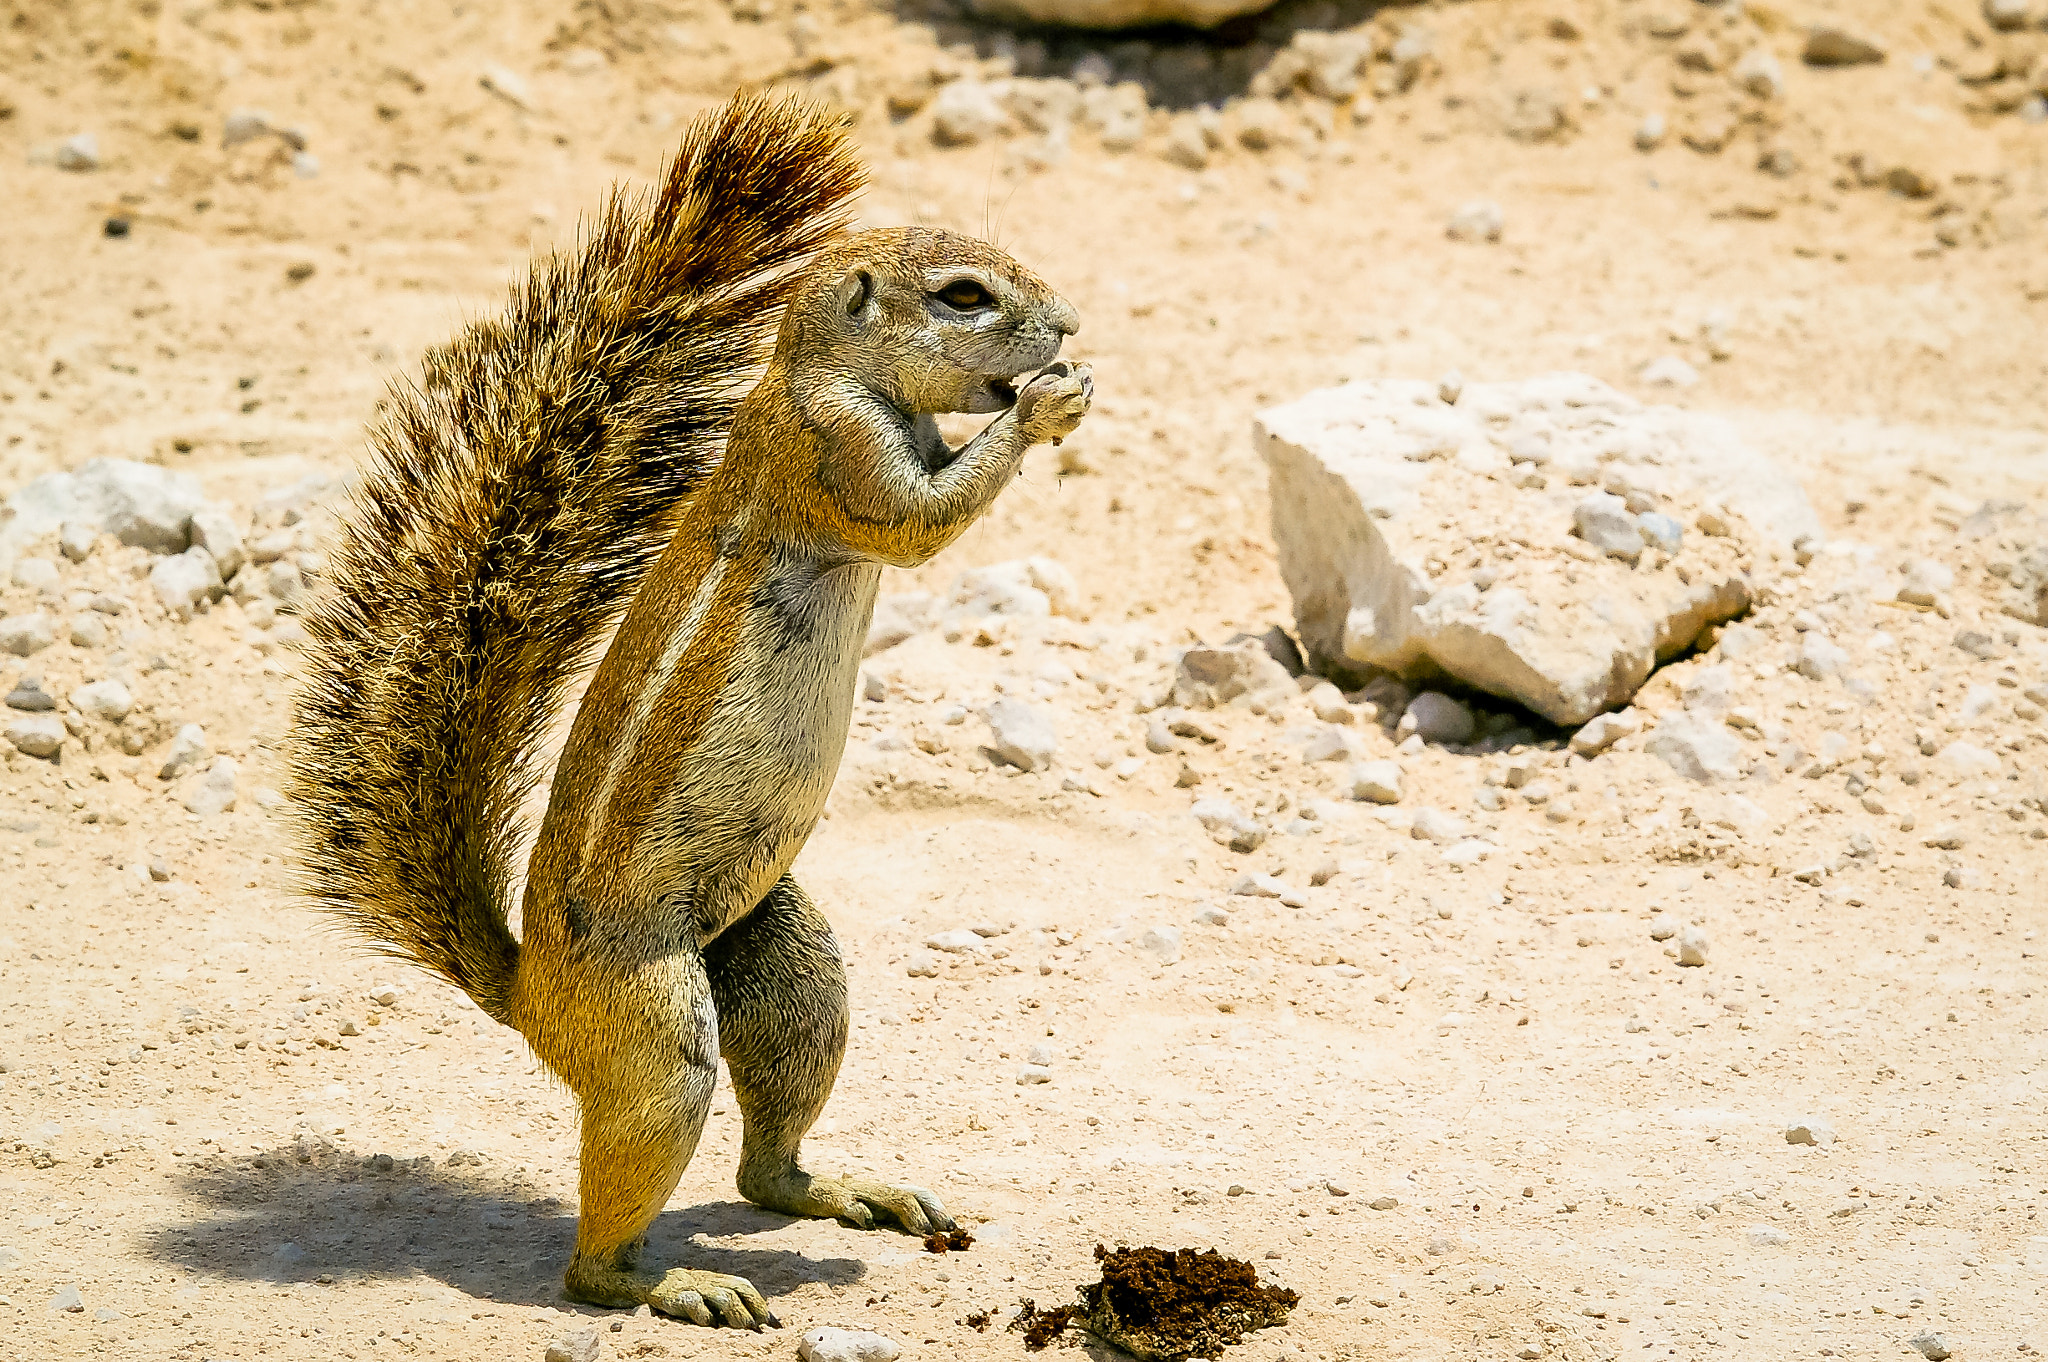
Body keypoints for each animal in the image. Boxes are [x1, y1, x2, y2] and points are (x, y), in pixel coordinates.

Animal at [292, 98, 1089, 1327]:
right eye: (964, 295)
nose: (1068, 324)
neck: (811, 373)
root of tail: (530, 997)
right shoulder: (838, 451)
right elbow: (923, 520)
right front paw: (1046, 400)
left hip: (786, 960)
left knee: (766, 1170)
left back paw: (846, 1193)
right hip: (660, 1033)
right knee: (594, 1258)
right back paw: (674, 1285)